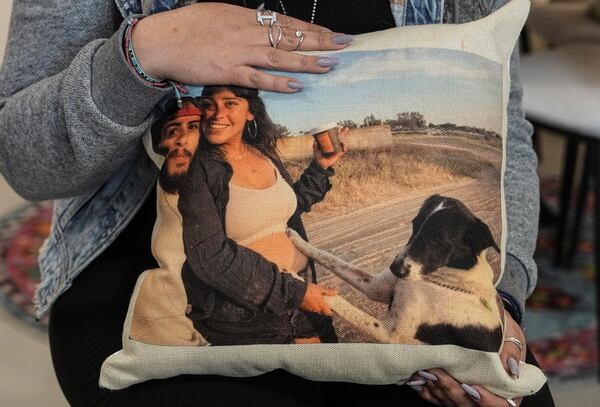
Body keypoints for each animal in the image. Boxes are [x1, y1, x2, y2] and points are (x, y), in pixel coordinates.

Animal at [288, 196, 504, 352]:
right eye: (414, 225)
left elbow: (344, 305)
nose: (395, 269)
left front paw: (298, 281)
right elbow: (330, 257)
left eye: (438, 241)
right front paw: (296, 240)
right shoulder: (375, 286)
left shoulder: (390, 335)